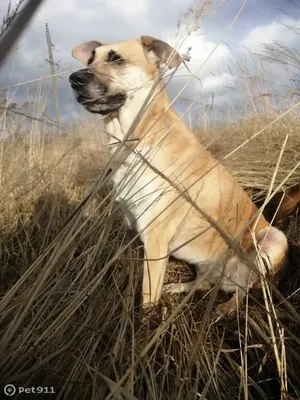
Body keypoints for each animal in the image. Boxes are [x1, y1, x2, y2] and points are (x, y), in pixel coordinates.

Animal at [68, 36, 292, 318]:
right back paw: (181, 288)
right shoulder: (132, 232)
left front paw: (144, 325)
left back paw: (228, 306)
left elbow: (147, 297)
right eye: (90, 59)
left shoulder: (154, 239)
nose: (74, 78)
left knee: (246, 290)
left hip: (273, 241)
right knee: (204, 283)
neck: (137, 140)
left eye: (116, 58)